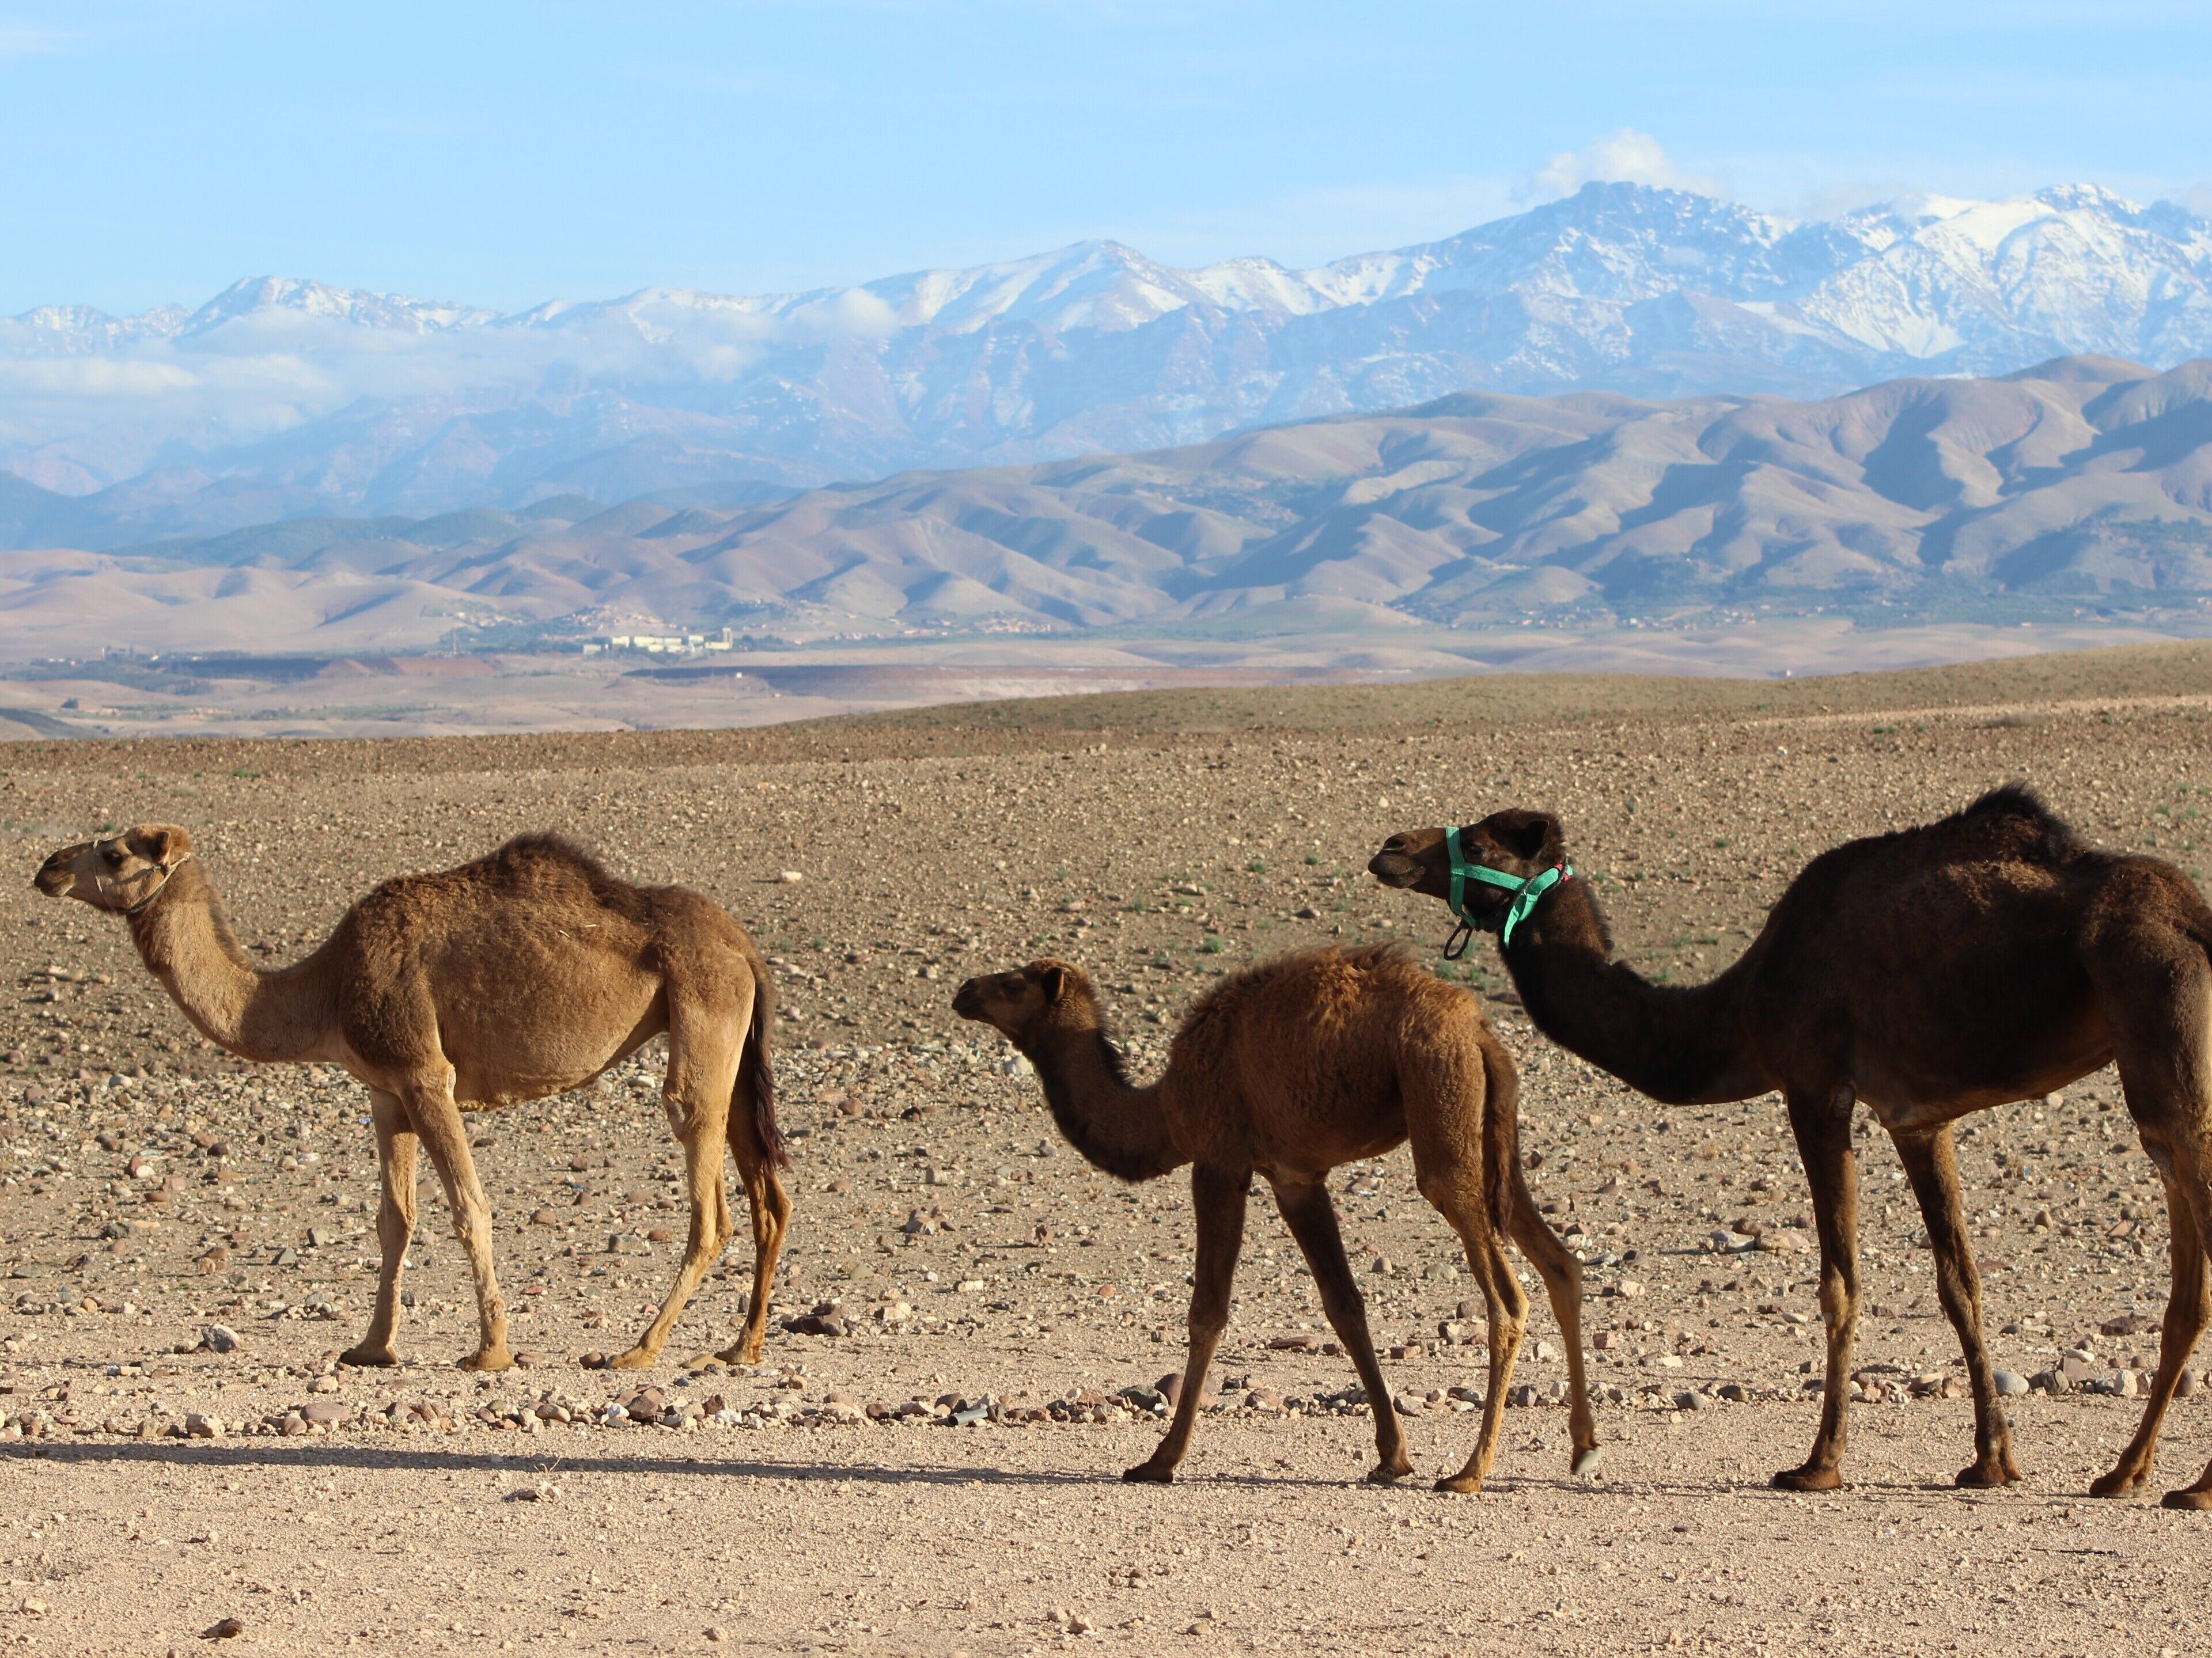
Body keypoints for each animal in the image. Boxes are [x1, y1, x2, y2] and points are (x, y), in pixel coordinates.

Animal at [34, 825, 790, 1374]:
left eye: (115, 850)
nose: (48, 866)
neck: (325, 987)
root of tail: (745, 945)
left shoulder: (427, 1074)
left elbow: (470, 1207)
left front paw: (490, 1351)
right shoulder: (384, 1090)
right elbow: (394, 1219)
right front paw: (371, 1346)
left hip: (702, 1011)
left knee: (706, 1189)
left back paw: (639, 1348)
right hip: (733, 1045)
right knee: (769, 1196)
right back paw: (740, 1346)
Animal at [952, 945, 1596, 1491]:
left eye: (1014, 984)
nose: (964, 990)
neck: (1165, 1109)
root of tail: (1480, 1031)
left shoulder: (1218, 1160)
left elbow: (1208, 1311)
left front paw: (1160, 1459)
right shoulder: (1296, 1178)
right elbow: (1345, 1305)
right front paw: (1392, 1456)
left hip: (1440, 1106)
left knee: (1506, 1296)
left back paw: (1469, 1471)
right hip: (1489, 1135)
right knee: (1560, 1261)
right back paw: (1583, 1447)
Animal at [1369, 787, 2212, 1510]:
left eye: (1487, 837)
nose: (1391, 848)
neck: (1738, 1005)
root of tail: (2197, 919)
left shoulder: (1814, 1085)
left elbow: (1840, 1282)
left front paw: (1818, 1463)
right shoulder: (1919, 1117)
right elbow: (1959, 1282)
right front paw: (1991, 1459)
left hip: (2163, 1034)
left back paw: (2190, 1485)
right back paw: (2126, 1471)